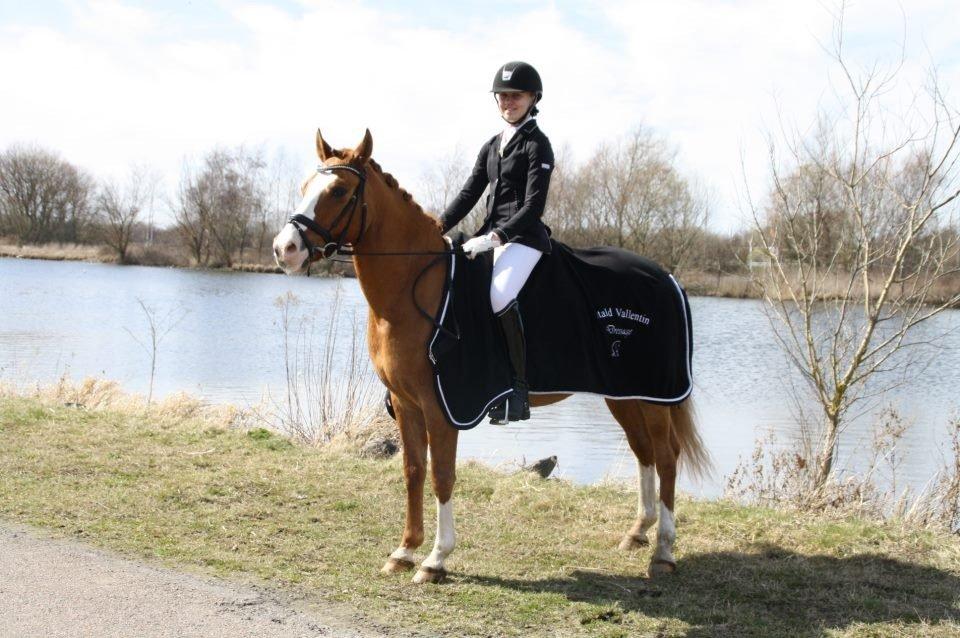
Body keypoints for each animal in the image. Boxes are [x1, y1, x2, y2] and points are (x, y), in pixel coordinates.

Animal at [272, 129, 708, 584]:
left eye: (339, 191)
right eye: (305, 187)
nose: (284, 249)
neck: (415, 285)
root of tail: (667, 276)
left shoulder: (442, 406)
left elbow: (442, 476)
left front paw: (436, 559)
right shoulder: (406, 404)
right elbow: (413, 472)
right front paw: (405, 550)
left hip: (653, 394)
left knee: (666, 456)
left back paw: (663, 551)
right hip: (624, 394)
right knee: (644, 451)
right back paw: (638, 532)